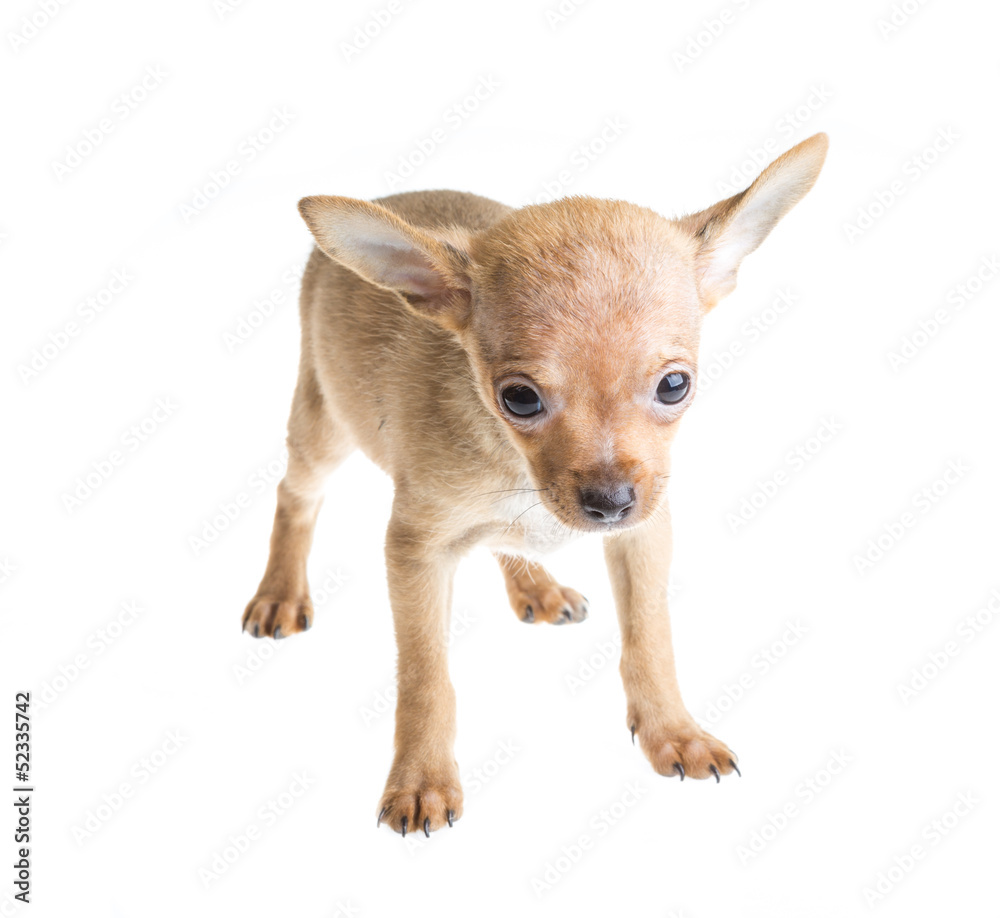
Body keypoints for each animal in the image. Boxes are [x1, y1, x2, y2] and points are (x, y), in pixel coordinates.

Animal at [242, 131, 828, 840]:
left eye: (674, 385)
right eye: (519, 399)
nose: (610, 503)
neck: (515, 467)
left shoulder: (644, 533)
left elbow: (650, 639)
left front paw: (673, 732)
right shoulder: (415, 551)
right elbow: (426, 676)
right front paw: (421, 779)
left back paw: (536, 586)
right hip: (323, 423)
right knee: (295, 493)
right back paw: (279, 591)